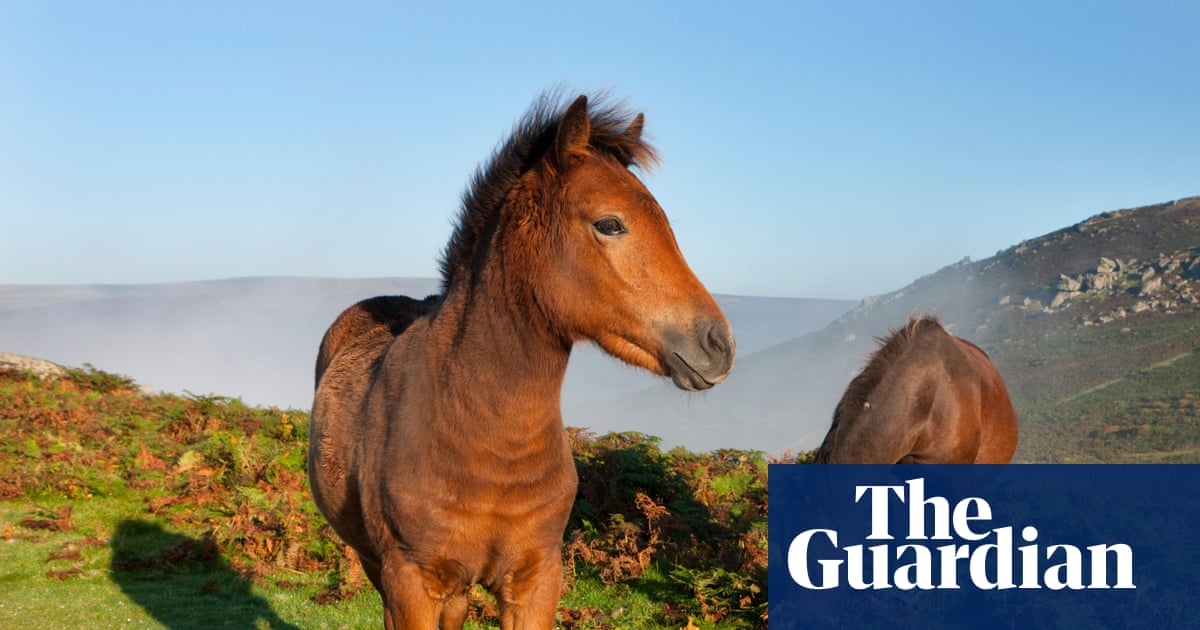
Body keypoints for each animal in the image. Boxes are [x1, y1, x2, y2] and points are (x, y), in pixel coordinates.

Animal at [308, 92, 735, 629]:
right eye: (610, 224)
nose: (718, 344)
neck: (491, 444)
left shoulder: (534, 579)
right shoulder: (410, 582)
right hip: (377, 565)